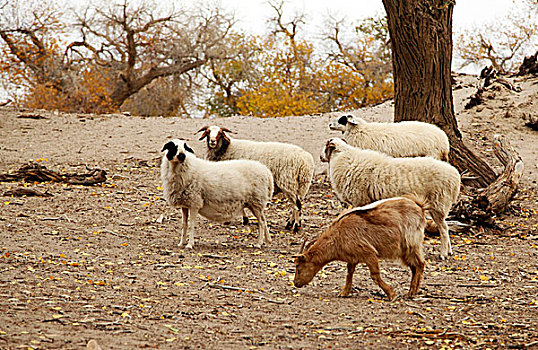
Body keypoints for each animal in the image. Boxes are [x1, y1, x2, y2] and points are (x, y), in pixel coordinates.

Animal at [292, 197, 426, 300]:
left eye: (298, 265)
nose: (295, 282)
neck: (338, 235)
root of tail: (419, 207)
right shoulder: (352, 257)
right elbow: (349, 273)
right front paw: (344, 293)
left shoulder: (369, 254)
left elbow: (375, 275)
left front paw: (391, 295)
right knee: (415, 267)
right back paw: (412, 292)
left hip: (410, 245)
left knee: (420, 264)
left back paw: (410, 293)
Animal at [320, 137, 458, 258]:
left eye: (326, 146)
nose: (320, 157)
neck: (342, 159)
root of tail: (454, 174)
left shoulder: (360, 200)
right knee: (445, 226)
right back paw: (449, 251)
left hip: (438, 202)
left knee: (443, 229)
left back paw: (443, 254)